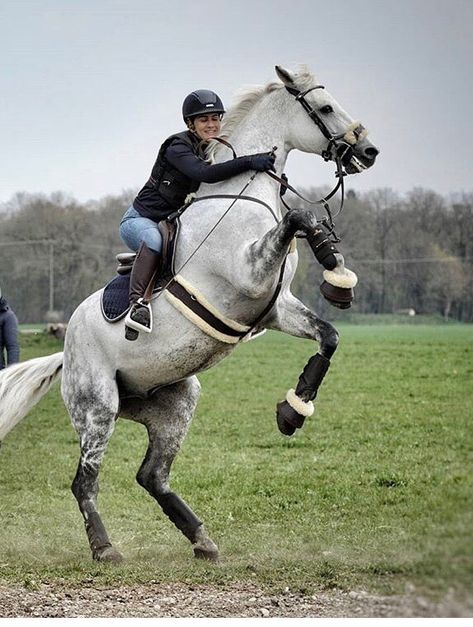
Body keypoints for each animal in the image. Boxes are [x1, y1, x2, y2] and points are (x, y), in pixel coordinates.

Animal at [0, 65, 378, 564]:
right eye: (326, 107)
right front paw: (335, 269)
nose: (368, 151)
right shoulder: (249, 274)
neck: (241, 194)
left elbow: (328, 336)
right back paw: (105, 548)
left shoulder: (276, 308)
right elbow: (299, 217)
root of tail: (64, 354)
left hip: (175, 403)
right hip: (98, 407)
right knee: (85, 481)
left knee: (152, 476)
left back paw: (202, 539)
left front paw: (292, 412)